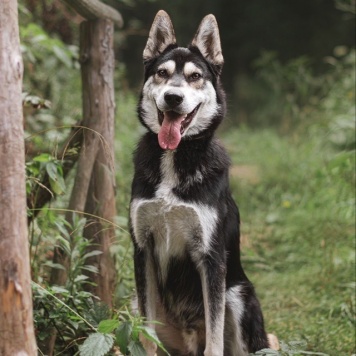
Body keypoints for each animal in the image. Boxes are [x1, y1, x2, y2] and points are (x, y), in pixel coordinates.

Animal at [129, 9, 274, 354]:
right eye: (162, 73)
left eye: (195, 76)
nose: (173, 97)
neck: (176, 157)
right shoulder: (142, 249)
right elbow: (146, 335)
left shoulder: (210, 257)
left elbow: (215, 337)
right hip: (133, 300)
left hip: (239, 295)